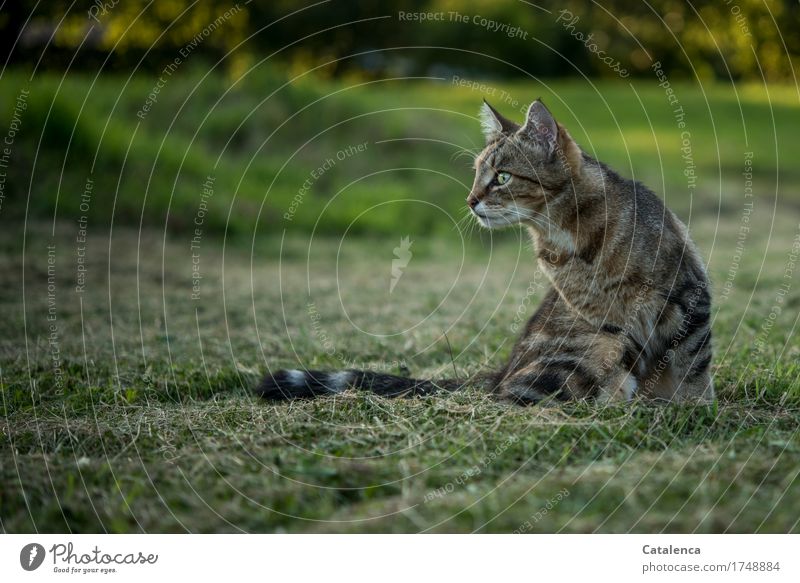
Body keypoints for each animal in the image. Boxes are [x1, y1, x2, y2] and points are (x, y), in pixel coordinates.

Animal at [260, 98, 716, 404]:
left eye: (502, 176)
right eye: (477, 173)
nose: (469, 200)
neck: (569, 239)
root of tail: (498, 372)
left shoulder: (687, 296)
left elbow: (693, 365)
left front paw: (693, 409)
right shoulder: (608, 324)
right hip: (592, 349)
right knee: (522, 394)